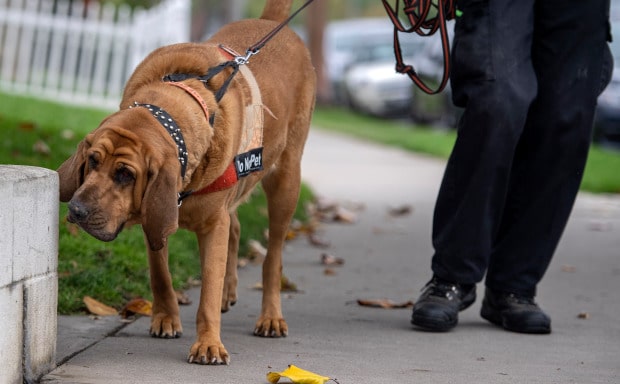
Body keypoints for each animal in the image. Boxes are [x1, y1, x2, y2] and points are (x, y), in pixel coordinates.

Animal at [57, 0, 314, 364]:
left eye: (125, 174)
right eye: (92, 161)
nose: (77, 211)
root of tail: (271, 21)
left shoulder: (212, 224)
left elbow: (208, 290)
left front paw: (208, 344)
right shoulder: (155, 221)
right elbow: (160, 274)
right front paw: (166, 318)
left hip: (286, 183)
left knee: (273, 256)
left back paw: (270, 317)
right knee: (237, 227)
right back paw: (229, 292)